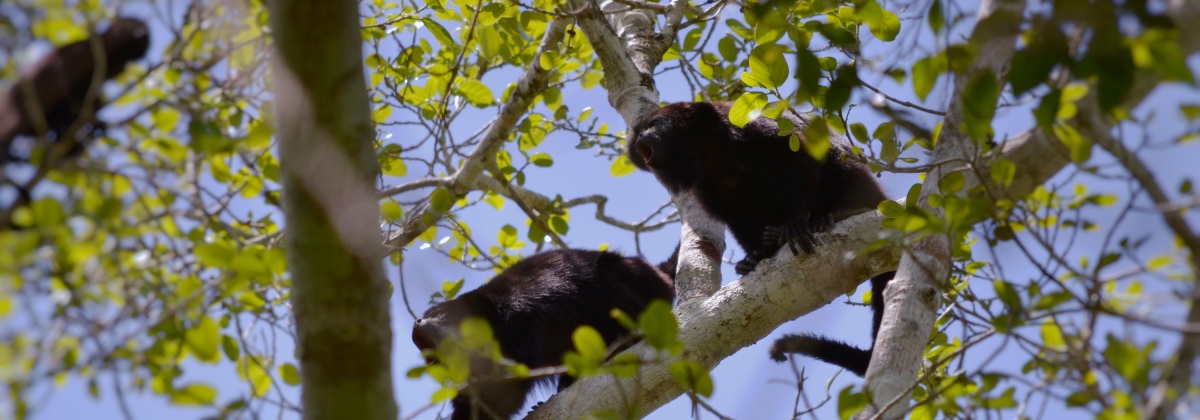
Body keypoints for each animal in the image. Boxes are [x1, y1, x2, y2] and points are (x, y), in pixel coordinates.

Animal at [412, 247, 677, 420]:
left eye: (440, 313)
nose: (418, 321)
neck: (489, 317)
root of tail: (660, 275)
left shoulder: (517, 321)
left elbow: (506, 390)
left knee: (612, 273)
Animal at [625, 101, 893, 376]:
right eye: (645, 127)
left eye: (654, 124)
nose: (641, 136)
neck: (713, 150)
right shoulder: (706, 183)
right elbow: (732, 213)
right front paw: (757, 255)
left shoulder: (755, 129)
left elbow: (801, 158)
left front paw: (797, 221)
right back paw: (770, 243)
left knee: (839, 160)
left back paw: (840, 214)